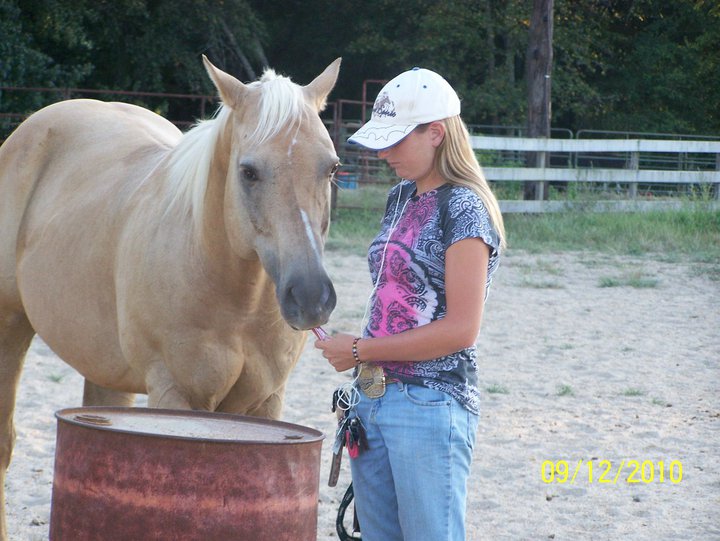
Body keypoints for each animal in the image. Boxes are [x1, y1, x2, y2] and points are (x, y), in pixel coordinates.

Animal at [0, 55, 341, 540]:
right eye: (248, 171)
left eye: (331, 168)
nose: (311, 296)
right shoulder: (176, 395)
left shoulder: (267, 401)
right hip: (10, 326)